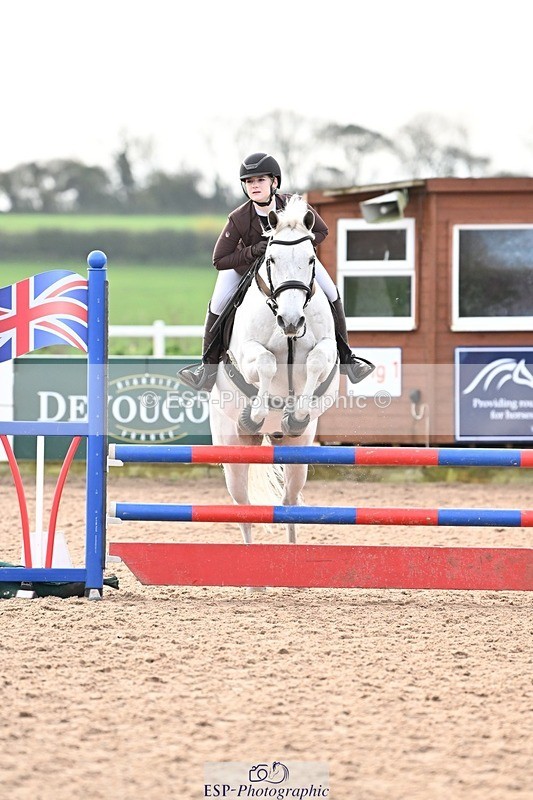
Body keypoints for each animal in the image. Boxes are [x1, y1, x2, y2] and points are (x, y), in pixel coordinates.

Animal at [209, 195, 340, 545]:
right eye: (271, 259)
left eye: (311, 259)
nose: (291, 321)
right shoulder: (247, 353)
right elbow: (266, 364)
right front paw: (254, 414)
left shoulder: (326, 348)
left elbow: (317, 361)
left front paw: (298, 412)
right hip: (232, 449)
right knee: (243, 507)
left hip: (297, 451)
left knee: (289, 501)